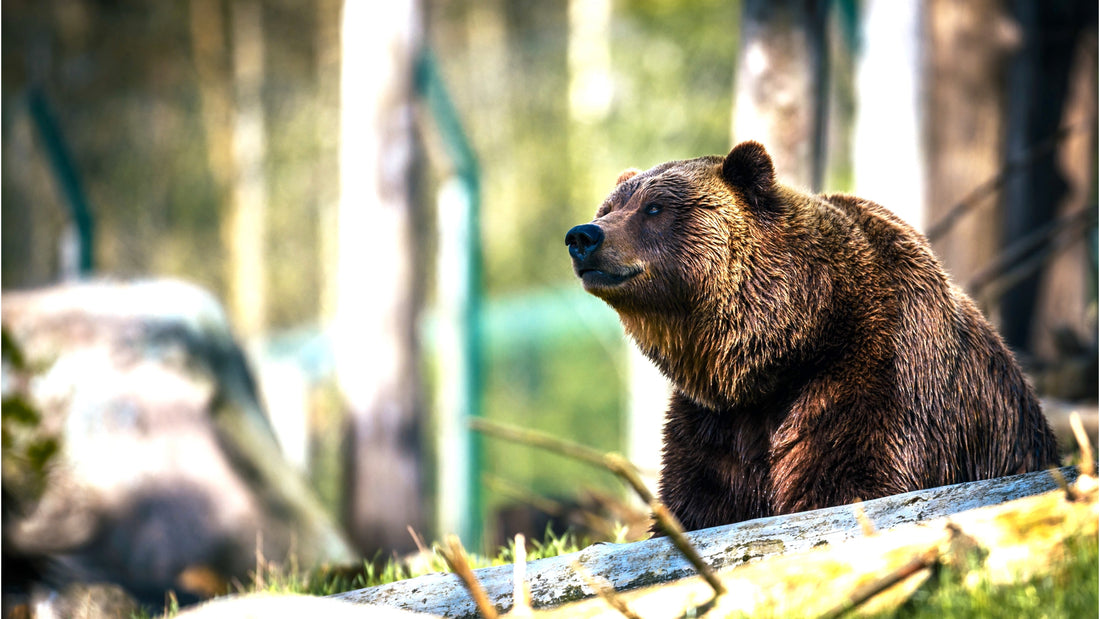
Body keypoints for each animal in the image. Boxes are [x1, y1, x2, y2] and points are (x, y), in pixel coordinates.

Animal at [567, 141, 1056, 532]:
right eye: (608, 208)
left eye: (654, 208)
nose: (583, 235)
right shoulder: (716, 421)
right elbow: (699, 499)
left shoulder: (877, 375)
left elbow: (852, 480)